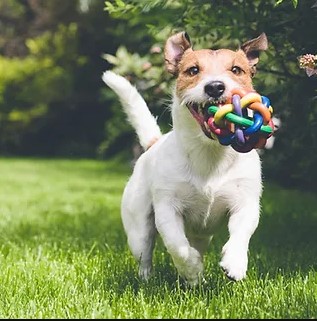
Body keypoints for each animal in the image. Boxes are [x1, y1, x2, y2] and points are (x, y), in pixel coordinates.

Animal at [103, 31, 270, 284]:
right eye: (193, 70)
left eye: (236, 69)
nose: (215, 87)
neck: (209, 153)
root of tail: (153, 144)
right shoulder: (167, 209)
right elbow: (177, 246)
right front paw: (191, 268)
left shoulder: (245, 203)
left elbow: (241, 233)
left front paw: (235, 263)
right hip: (138, 227)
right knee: (145, 254)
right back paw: (153, 279)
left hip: (201, 235)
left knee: (197, 244)